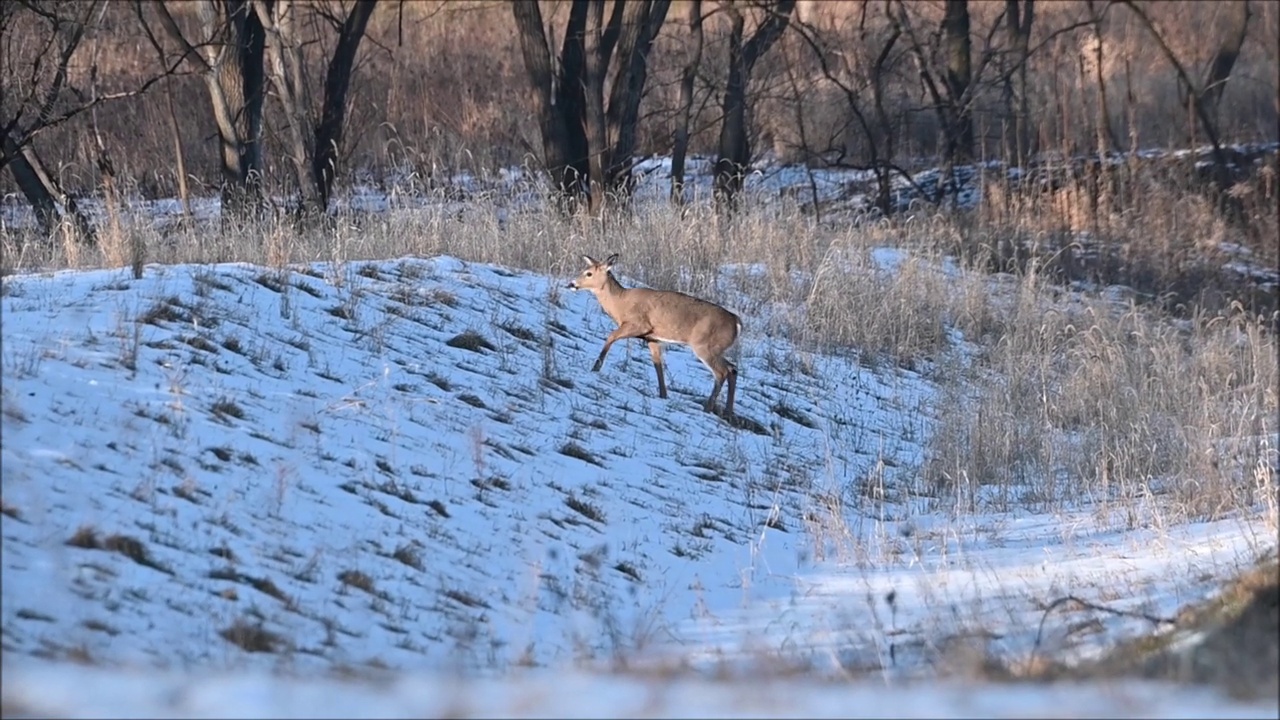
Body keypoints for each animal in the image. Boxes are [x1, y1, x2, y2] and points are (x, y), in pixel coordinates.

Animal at [570, 252, 742, 415]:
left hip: (703, 345)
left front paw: (595, 368)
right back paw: (728, 411)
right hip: (715, 348)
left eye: (589, 273)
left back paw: (708, 408)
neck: (620, 304)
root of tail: (736, 322)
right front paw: (663, 395)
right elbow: (658, 365)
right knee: (732, 368)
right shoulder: (652, 339)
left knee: (721, 372)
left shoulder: (639, 324)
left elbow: (611, 336)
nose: (571, 284)